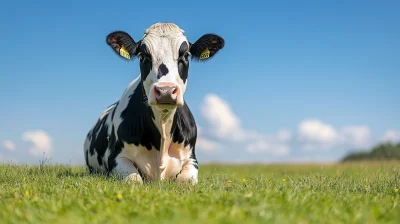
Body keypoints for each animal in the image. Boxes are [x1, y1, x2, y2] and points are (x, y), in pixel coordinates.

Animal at [83, 22, 225, 185]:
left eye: (186, 55)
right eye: (143, 56)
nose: (165, 91)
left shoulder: (191, 158)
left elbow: (186, 182)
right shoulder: (115, 158)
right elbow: (134, 180)